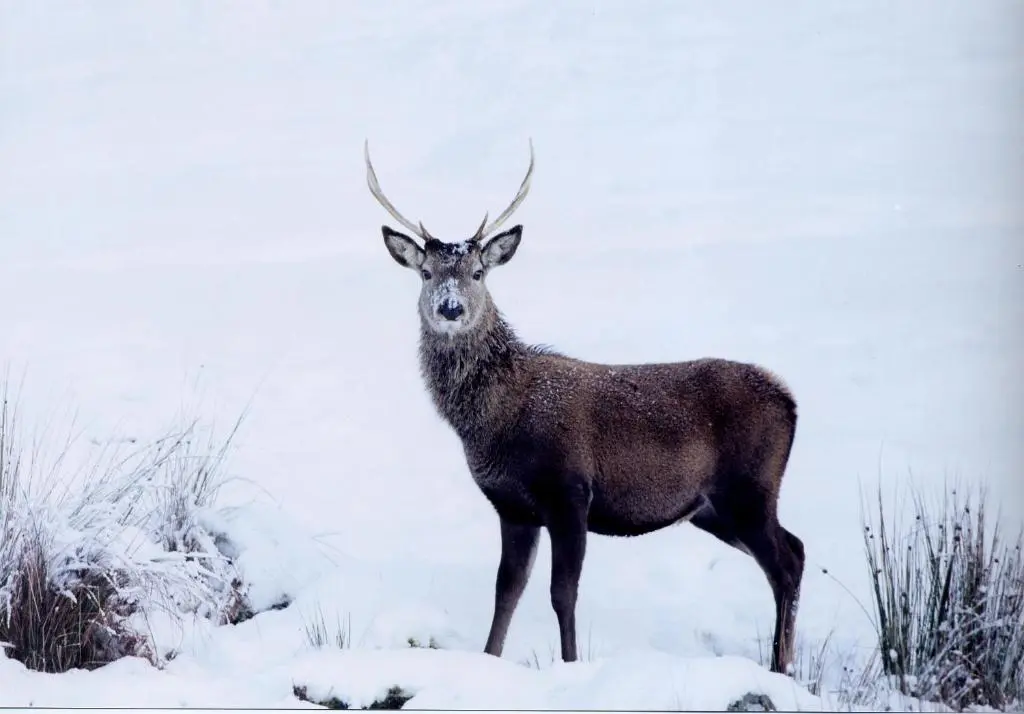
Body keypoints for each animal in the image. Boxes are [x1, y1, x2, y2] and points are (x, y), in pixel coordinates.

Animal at [364, 140, 806, 675]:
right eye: (426, 273)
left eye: (477, 272)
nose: (451, 308)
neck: (499, 421)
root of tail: (790, 400)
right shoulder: (512, 506)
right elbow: (506, 591)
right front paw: (490, 660)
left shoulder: (571, 491)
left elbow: (562, 594)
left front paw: (570, 665)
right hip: (714, 507)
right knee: (796, 550)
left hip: (749, 488)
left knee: (785, 563)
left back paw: (781, 668)